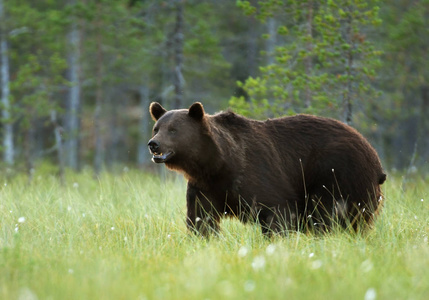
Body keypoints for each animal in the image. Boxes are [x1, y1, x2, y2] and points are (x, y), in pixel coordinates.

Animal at [147, 102, 384, 237]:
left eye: (173, 130)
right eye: (156, 128)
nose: (153, 144)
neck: (218, 164)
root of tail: (374, 155)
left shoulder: (259, 175)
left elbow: (276, 213)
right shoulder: (204, 187)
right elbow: (201, 218)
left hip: (339, 173)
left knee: (332, 213)